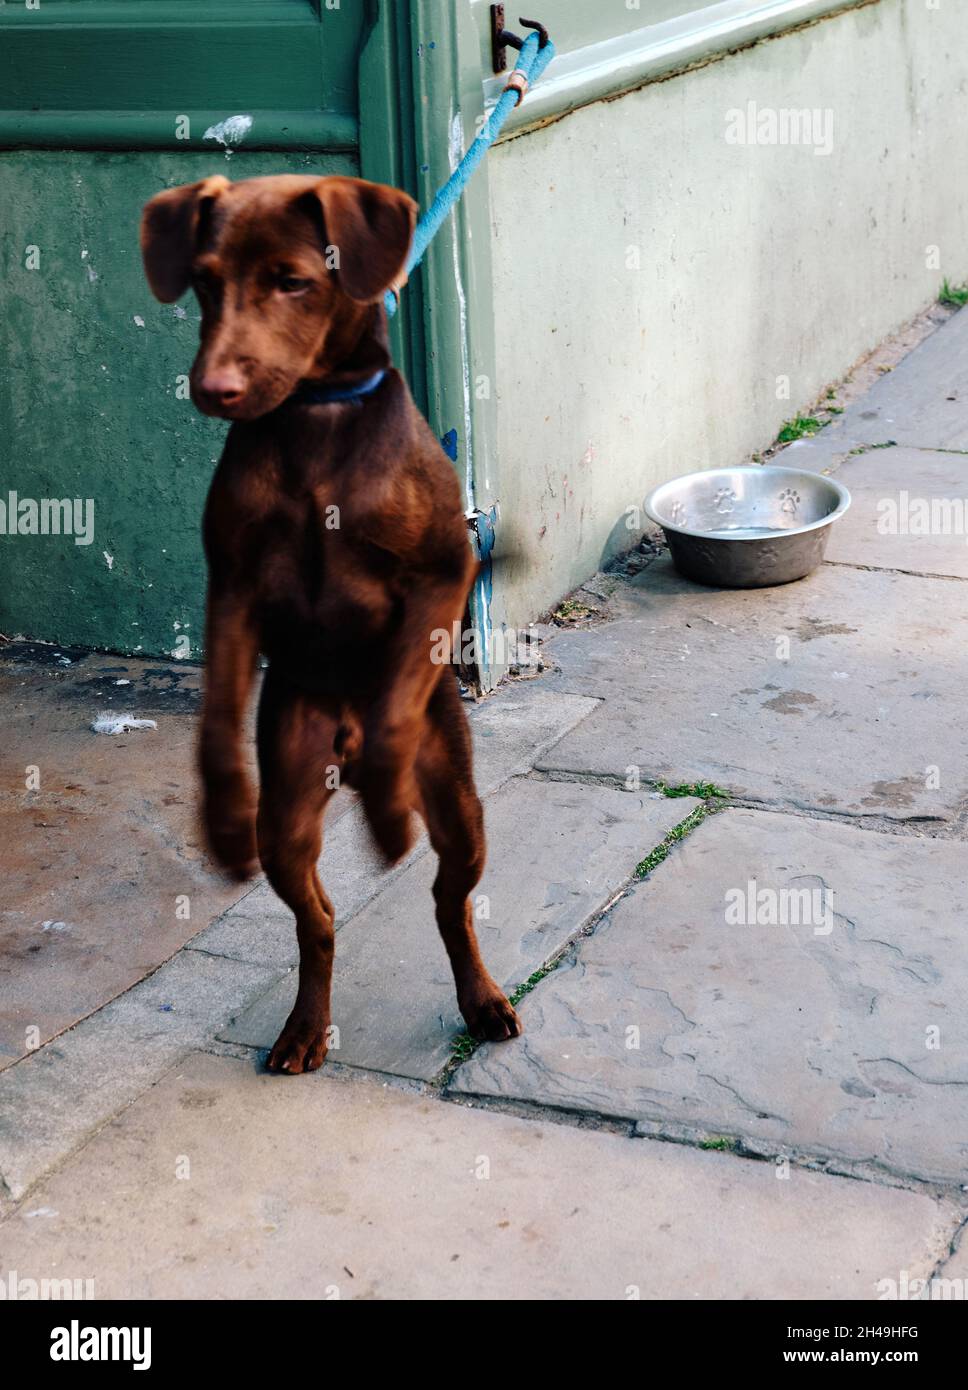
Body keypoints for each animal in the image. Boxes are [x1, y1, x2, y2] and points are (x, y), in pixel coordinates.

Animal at [139, 168, 517, 1067]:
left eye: (293, 282)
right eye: (204, 281)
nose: (213, 390)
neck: (317, 419)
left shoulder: (442, 575)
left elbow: (394, 712)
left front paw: (384, 808)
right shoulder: (233, 589)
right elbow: (215, 720)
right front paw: (221, 815)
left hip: (460, 807)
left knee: (450, 900)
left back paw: (480, 997)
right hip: (291, 804)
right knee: (318, 919)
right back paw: (305, 1027)